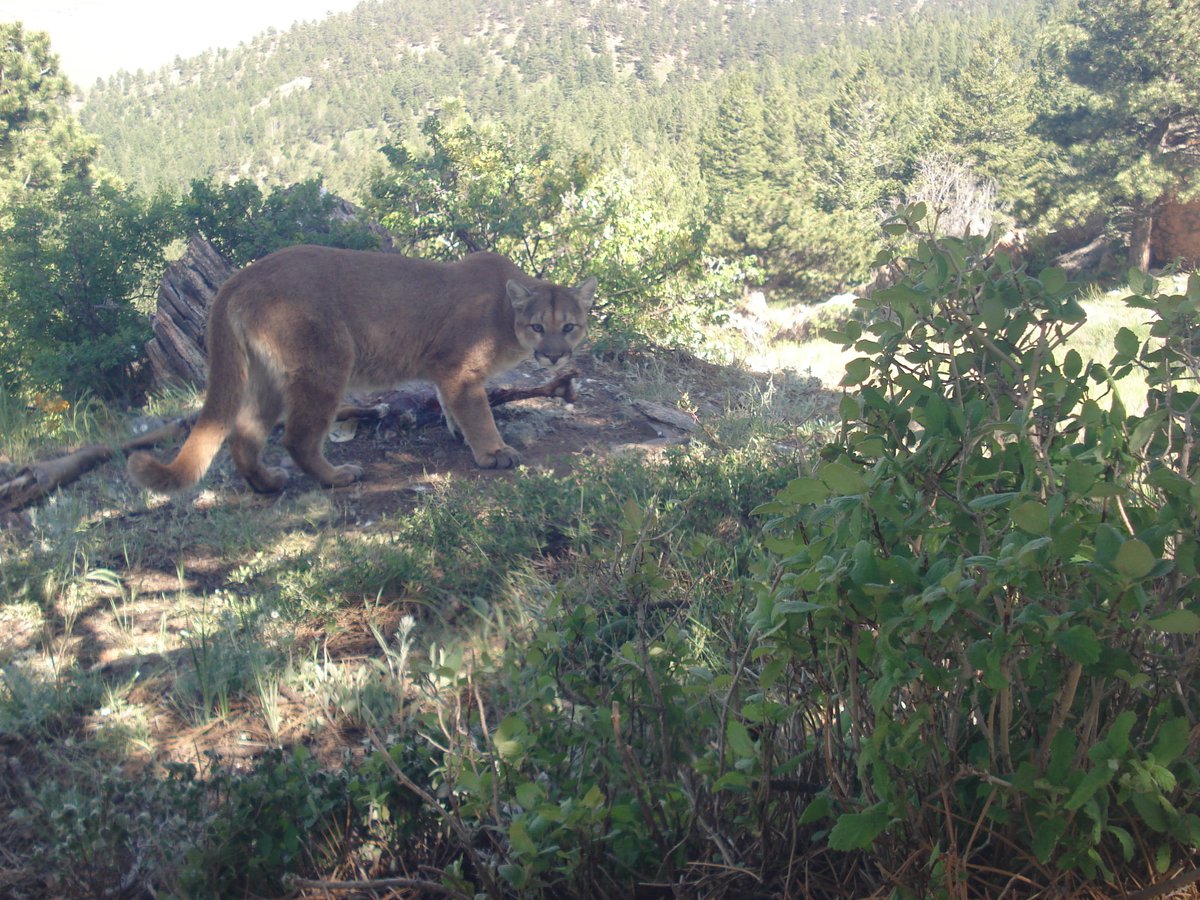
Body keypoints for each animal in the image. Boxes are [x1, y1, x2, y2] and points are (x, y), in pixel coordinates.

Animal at [128, 245, 595, 492]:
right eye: (538, 327)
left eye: (569, 327)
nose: (554, 356)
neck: (503, 311)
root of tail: (238, 278)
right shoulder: (457, 367)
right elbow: (478, 411)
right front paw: (494, 452)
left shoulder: (443, 371)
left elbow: (452, 405)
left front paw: (459, 432)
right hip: (326, 364)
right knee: (297, 437)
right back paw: (337, 476)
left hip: (267, 376)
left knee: (243, 433)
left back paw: (267, 483)